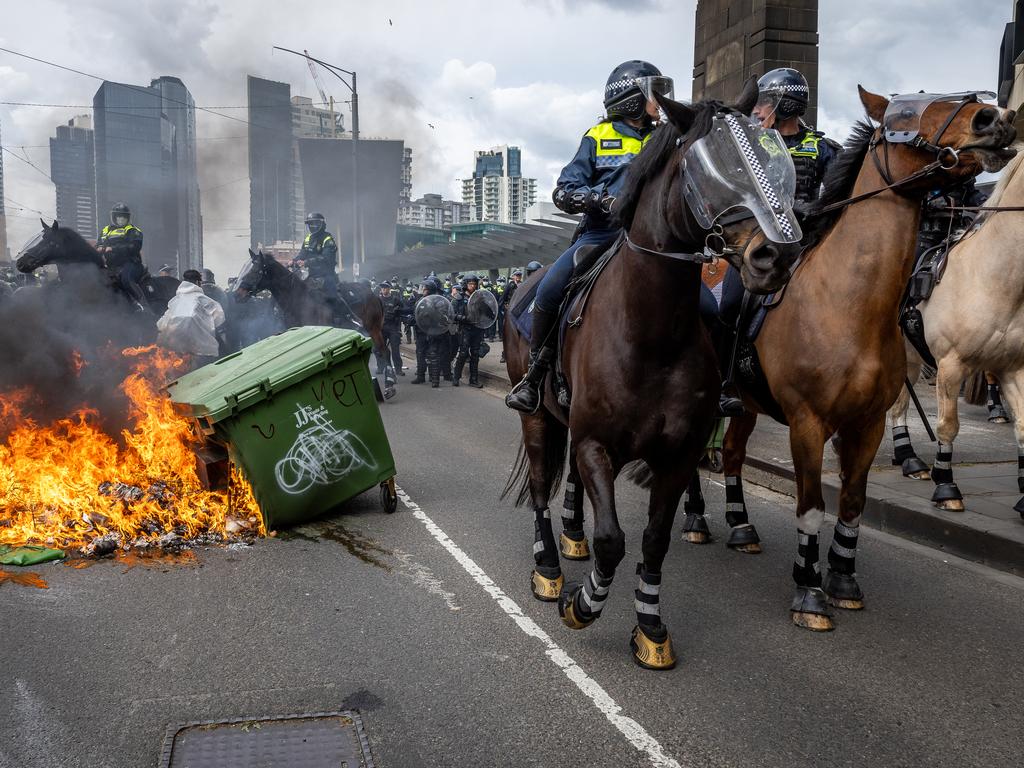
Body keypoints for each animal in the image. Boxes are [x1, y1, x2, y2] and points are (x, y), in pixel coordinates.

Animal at [499, 83, 802, 671]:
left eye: (774, 157)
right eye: (710, 168)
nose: (777, 254)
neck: (651, 335)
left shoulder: (676, 454)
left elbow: (654, 540)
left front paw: (650, 628)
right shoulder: (596, 443)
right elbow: (613, 539)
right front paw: (582, 603)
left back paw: (571, 543)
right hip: (538, 415)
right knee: (543, 486)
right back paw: (549, 568)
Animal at [888, 149, 1024, 518]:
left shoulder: (1012, 367)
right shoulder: (951, 364)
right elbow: (948, 425)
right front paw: (946, 486)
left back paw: (907, 459)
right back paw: (908, 459)